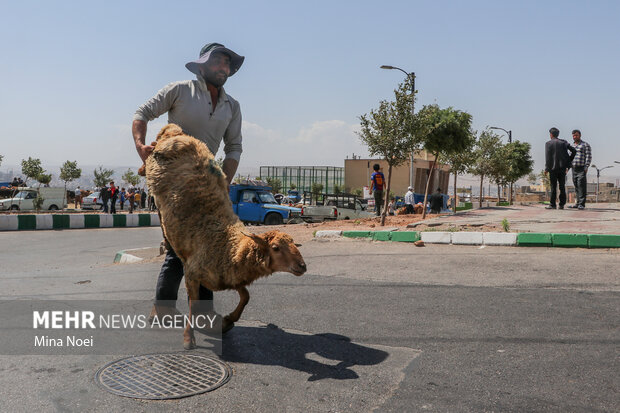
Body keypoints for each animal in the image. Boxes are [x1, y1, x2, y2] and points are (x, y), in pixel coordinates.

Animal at [146, 124, 310, 350]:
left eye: (294, 244)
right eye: (276, 248)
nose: (302, 266)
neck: (228, 245)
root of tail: (174, 131)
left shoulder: (233, 275)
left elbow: (246, 297)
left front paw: (227, 321)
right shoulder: (192, 272)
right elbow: (193, 304)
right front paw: (189, 338)